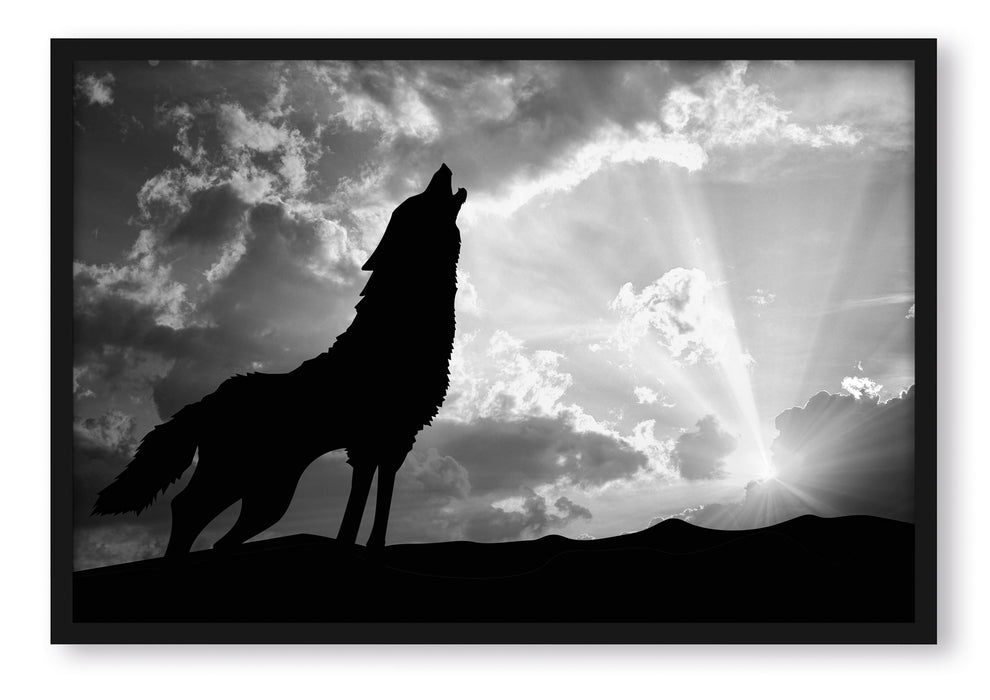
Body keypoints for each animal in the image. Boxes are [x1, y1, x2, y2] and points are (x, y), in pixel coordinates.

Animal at [92, 164, 467, 556]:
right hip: (241, 480)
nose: (443, 167)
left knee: (215, 533)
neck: (399, 331)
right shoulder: (372, 439)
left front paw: (372, 546)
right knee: (187, 508)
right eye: (418, 200)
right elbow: (360, 499)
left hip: (267, 495)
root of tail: (205, 401)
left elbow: (381, 492)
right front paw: (350, 545)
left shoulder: (395, 436)